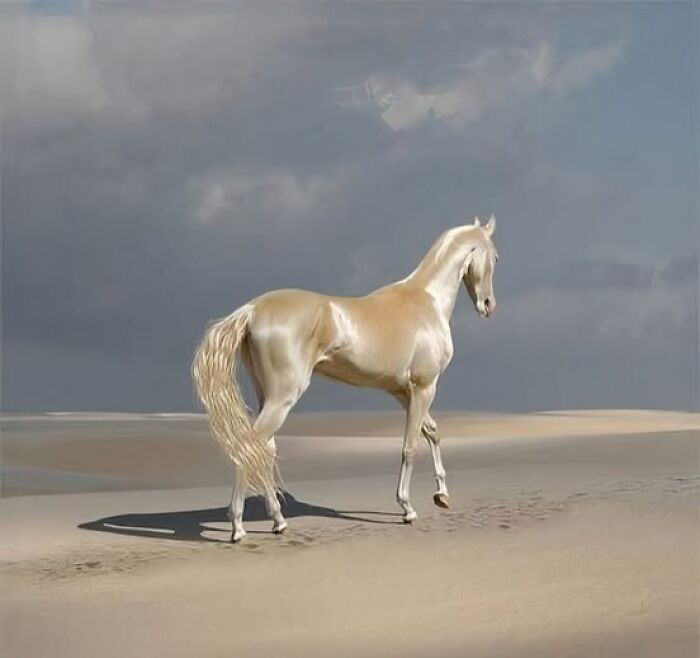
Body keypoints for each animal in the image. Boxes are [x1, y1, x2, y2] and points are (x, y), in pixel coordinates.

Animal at [191, 215, 498, 540]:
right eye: (495, 257)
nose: (488, 305)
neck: (426, 302)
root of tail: (252, 309)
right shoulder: (424, 387)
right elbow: (410, 445)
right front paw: (407, 508)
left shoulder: (403, 392)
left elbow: (433, 432)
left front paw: (442, 495)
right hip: (283, 397)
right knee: (250, 446)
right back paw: (238, 527)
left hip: (268, 397)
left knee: (264, 450)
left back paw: (278, 521)